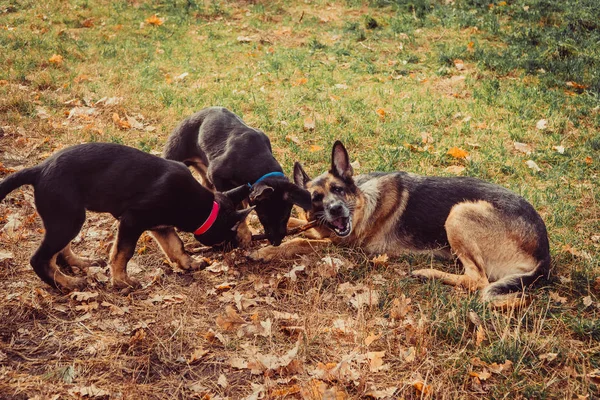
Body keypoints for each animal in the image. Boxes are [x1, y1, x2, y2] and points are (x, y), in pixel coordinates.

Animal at [0, 143, 252, 290]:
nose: (234, 249)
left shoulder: (159, 226)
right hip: (69, 219)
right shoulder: (132, 221)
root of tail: (39, 170)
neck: (204, 206)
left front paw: (189, 263)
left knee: (60, 251)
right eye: (231, 231)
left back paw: (82, 264)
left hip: (66, 218)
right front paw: (122, 281)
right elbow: (123, 252)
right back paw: (67, 283)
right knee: (40, 258)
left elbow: (176, 246)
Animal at [164, 108, 312, 248]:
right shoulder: (217, 175)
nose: (276, 242)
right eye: (263, 217)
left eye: (285, 217)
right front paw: (244, 235)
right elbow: (238, 208)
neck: (256, 159)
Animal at [251, 141, 552, 304]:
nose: (336, 210)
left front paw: (267, 251)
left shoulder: (343, 246)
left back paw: (428, 273)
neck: (364, 202)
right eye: (315, 199)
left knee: (477, 280)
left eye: (338, 189)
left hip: (459, 212)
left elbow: (301, 240)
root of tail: (544, 256)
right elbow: (297, 226)